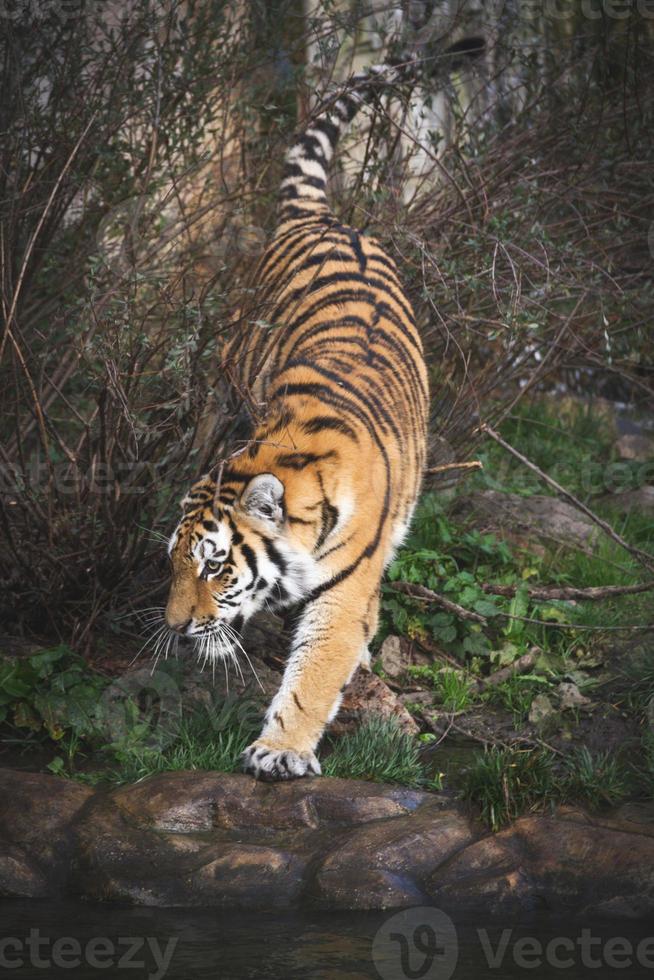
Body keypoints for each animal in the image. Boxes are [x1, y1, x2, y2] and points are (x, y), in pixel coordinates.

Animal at [164, 53, 472, 780]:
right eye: (176, 563)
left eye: (214, 566)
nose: (175, 629)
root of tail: (324, 220)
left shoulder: (349, 587)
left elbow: (317, 666)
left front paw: (280, 749)